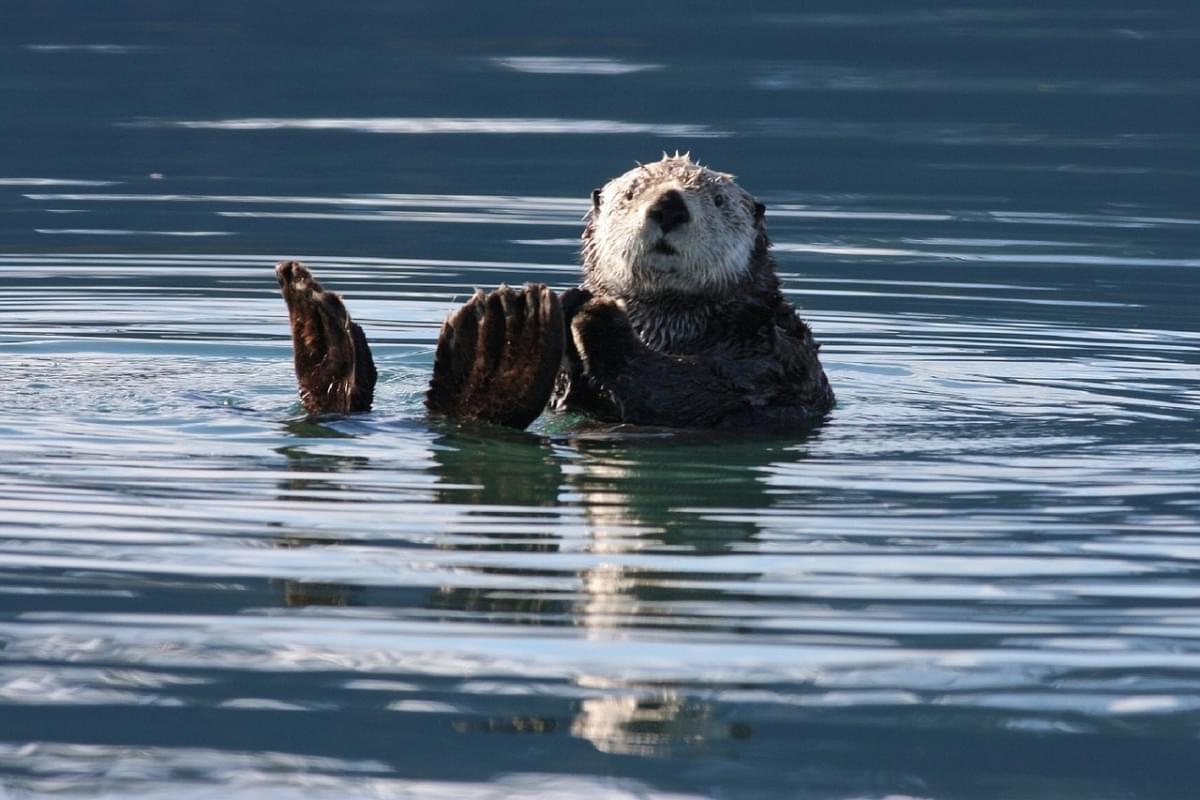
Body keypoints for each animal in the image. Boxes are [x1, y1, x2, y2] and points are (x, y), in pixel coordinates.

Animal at [274, 155, 835, 431]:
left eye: (717, 200)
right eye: (632, 193)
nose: (670, 205)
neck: (666, 325)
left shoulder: (776, 355)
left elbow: (702, 394)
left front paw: (597, 315)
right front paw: (578, 303)